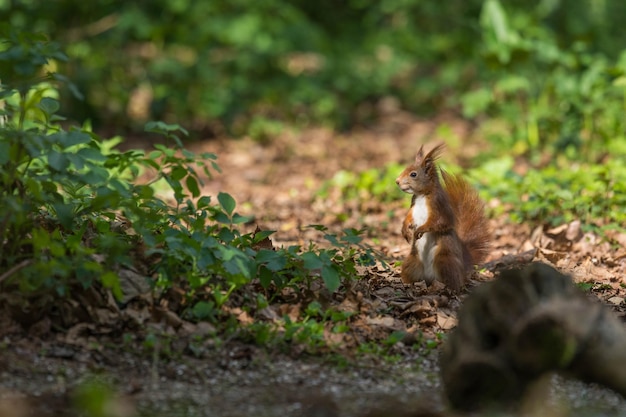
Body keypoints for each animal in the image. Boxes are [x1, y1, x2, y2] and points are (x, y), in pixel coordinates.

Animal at [394, 144, 488, 292]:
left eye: (413, 174)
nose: (397, 181)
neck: (422, 195)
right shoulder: (413, 207)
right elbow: (408, 218)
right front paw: (405, 230)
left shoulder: (439, 206)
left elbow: (440, 222)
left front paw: (420, 229)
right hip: (412, 262)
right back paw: (407, 284)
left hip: (444, 261)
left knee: (455, 282)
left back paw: (448, 288)